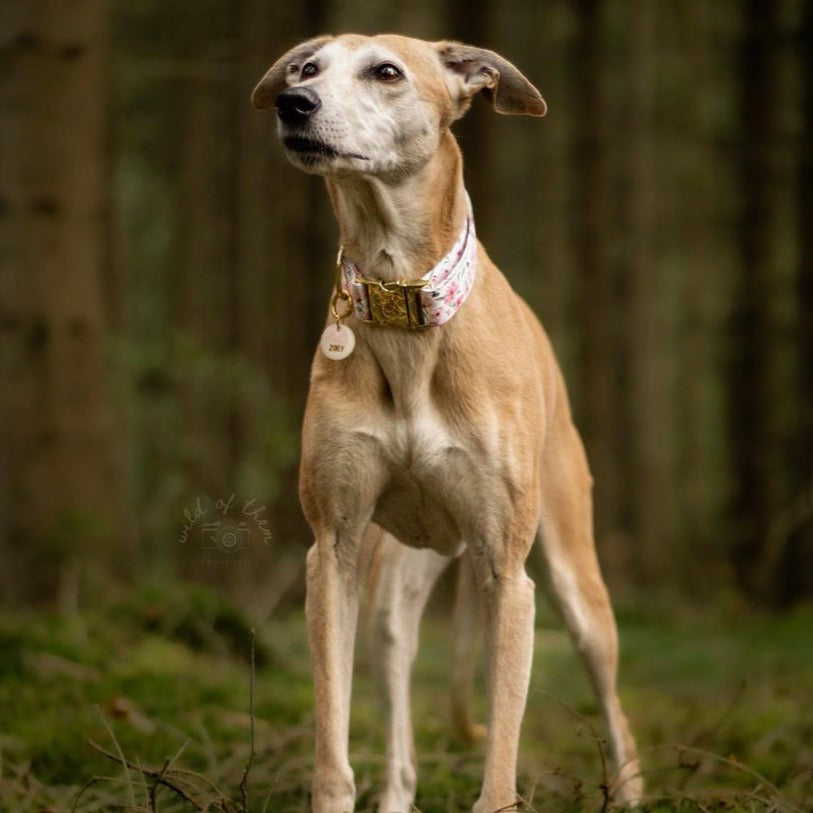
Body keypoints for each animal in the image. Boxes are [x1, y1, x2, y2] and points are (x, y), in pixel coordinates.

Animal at [251, 33, 644, 812]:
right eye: (306, 68)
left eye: (386, 71)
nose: (293, 104)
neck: (403, 301)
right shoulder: (332, 550)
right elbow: (332, 746)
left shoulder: (505, 572)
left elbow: (500, 766)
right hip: (396, 583)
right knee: (397, 701)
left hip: (573, 581)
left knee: (616, 712)